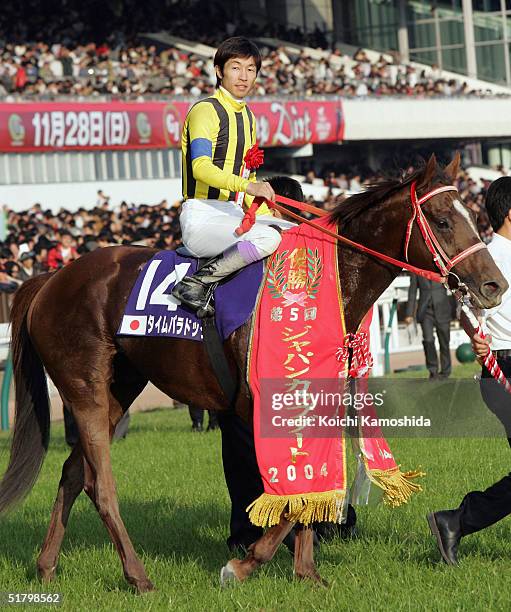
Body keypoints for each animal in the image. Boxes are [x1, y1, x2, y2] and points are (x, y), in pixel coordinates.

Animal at [0, 154, 508, 592]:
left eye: (471, 213)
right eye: (442, 220)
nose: (494, 285)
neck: (320, 294)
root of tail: (51, 279)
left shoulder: (316, 401)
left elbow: (307, 486)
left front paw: (307, 572)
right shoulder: (268, 404)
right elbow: (284, 494)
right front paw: (243, 565)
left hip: (120, 385)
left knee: (72, 474)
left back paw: (46, 566)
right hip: (84, 387)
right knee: (99, 483)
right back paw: (138, 577)